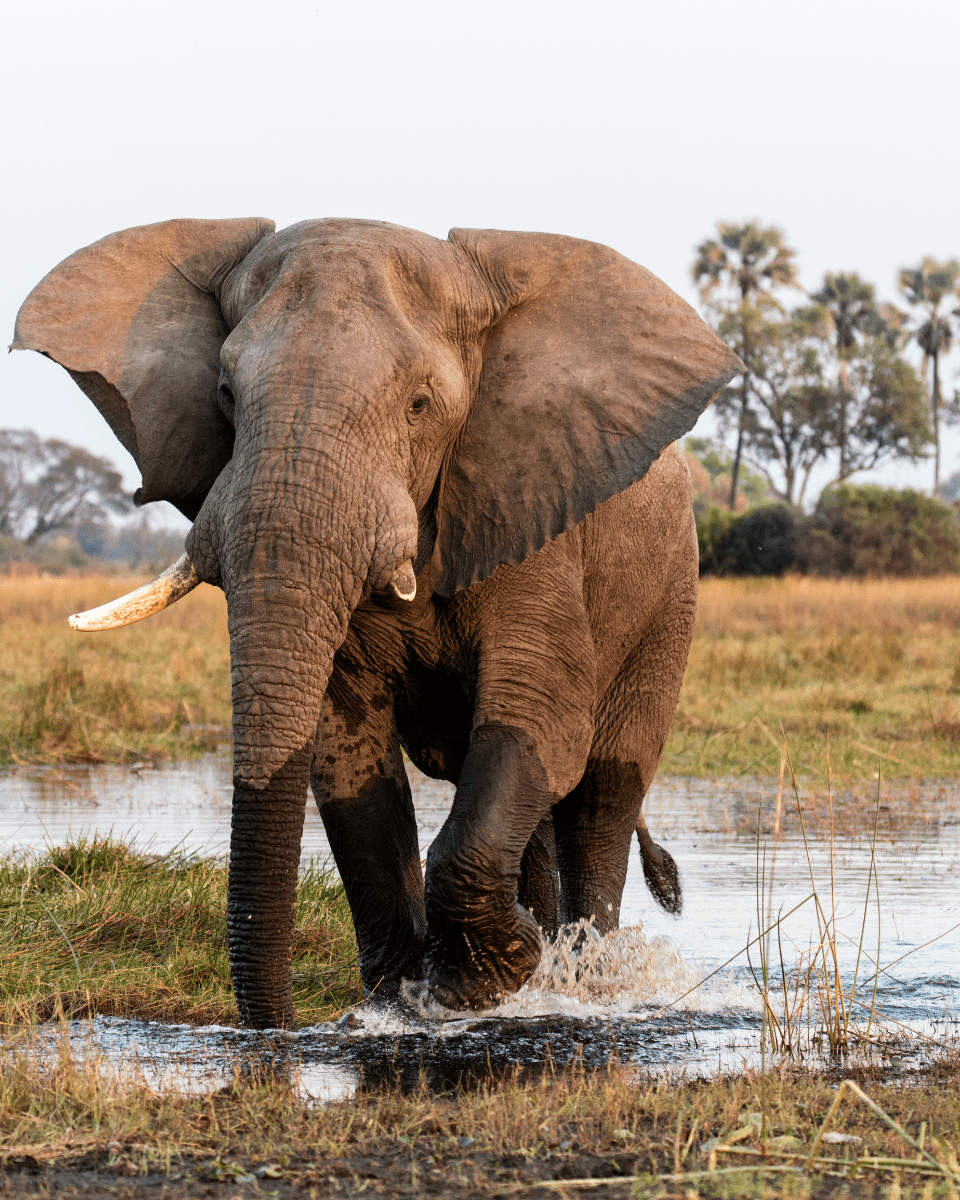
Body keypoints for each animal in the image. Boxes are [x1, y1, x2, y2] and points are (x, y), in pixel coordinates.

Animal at [11, 218, 739, 1032]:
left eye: (420, 404)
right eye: (226, 394)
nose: (275, 1030)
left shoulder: (533, 521)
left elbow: (542, 721)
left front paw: (486, 982)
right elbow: (349, 755)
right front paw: (411, 1000)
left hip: (670, 599)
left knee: (602, 794)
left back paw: (588, 983)